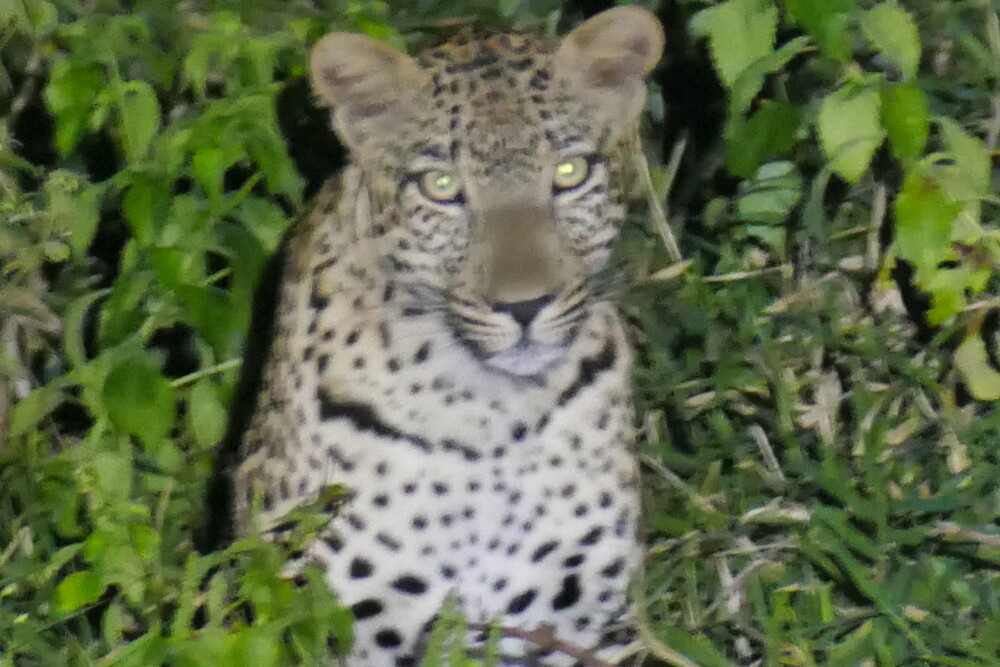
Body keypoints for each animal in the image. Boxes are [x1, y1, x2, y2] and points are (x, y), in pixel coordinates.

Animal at [220, 7, 664, 665]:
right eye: (442, 187)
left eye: (570, 172)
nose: (525, 306)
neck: (490, 417)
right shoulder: (329, 620)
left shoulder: (583, 624)